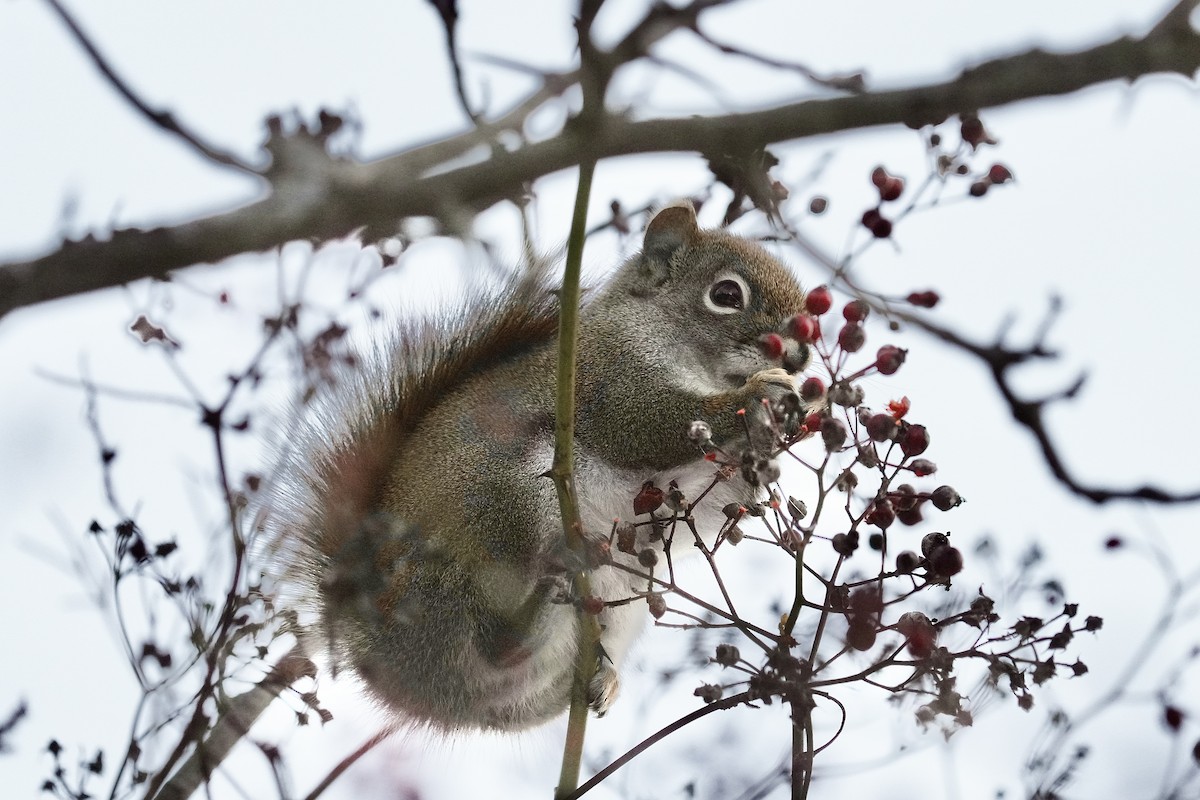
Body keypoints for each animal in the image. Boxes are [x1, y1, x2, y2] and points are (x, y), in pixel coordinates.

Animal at [268, 202, 812, 732]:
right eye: (726, 294)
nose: (799, 356)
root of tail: (382, 645)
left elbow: (710, 502)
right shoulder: (604, 379)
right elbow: (644, 423)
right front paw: (761, 395)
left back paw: (599, 679)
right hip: (505, 500)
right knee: (493, 639)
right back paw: (523, 625)